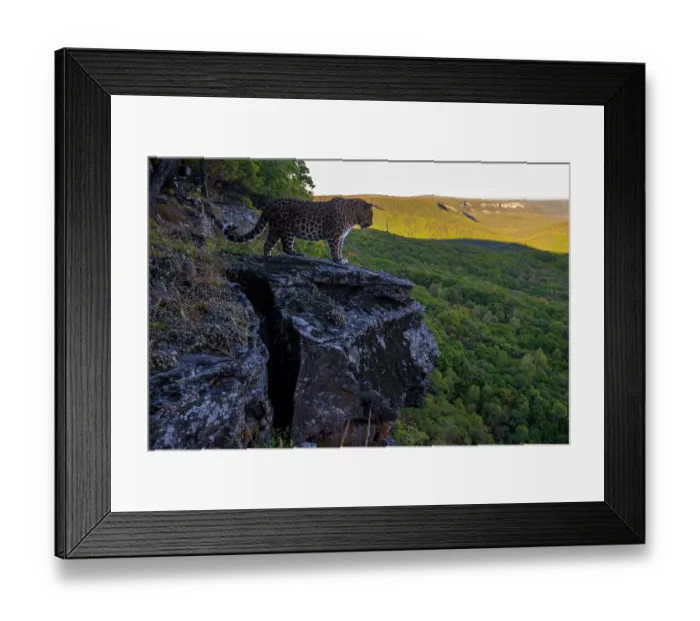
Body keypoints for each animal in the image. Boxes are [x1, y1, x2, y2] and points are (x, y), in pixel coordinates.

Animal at [223, 197, 377, 264]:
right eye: (369, 215)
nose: (371, 223)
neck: (351, 218)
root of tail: (271, 202)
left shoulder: (341, 236)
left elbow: (340, 247)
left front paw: (341, 258)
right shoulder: (335, 234)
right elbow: (334, 248)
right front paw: (338, 260)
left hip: (275, 229)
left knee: (267, 244)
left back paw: (269, 257)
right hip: (287, 229)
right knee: (286, 247)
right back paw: (298, 254)